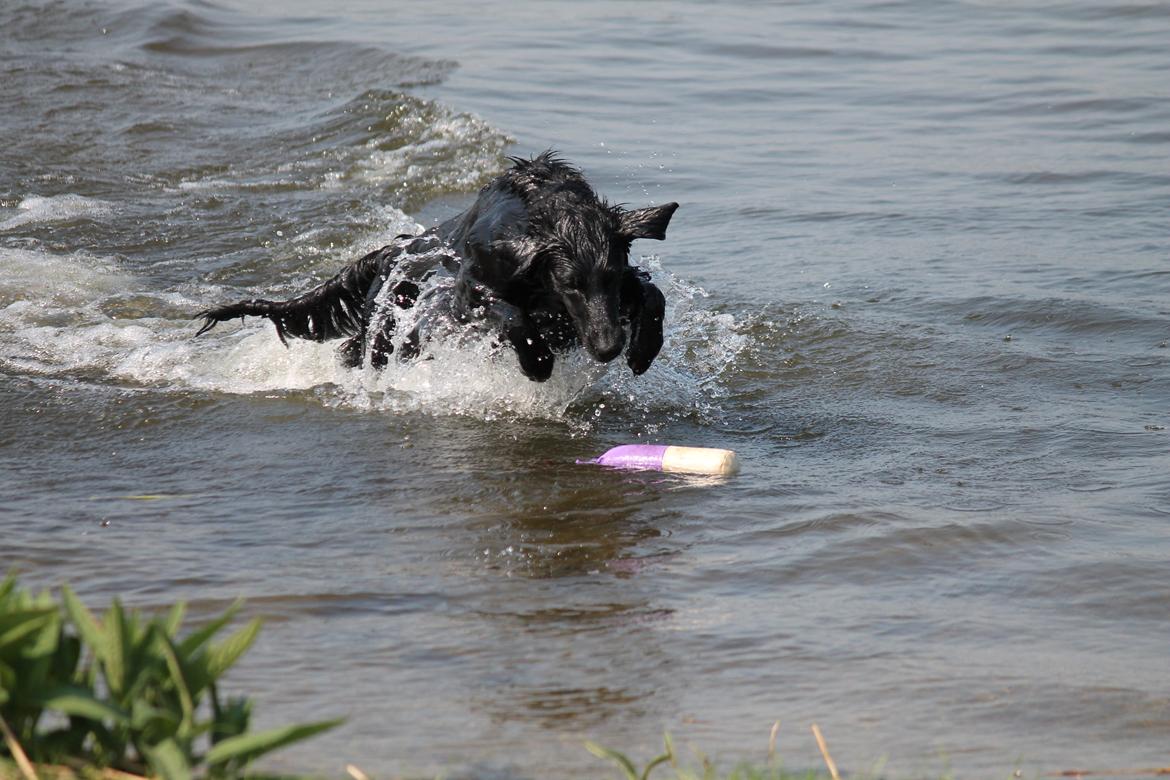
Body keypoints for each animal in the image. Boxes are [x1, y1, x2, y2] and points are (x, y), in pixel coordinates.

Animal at [193, 152, 678, 381]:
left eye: (609, 280)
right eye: (569, 284)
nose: (609, 347)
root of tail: (386, 251)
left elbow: (652, 292)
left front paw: (643, 348)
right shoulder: (468, 291)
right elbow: (509, 313)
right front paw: (537, 360)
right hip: (388, 328)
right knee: (358, 351)